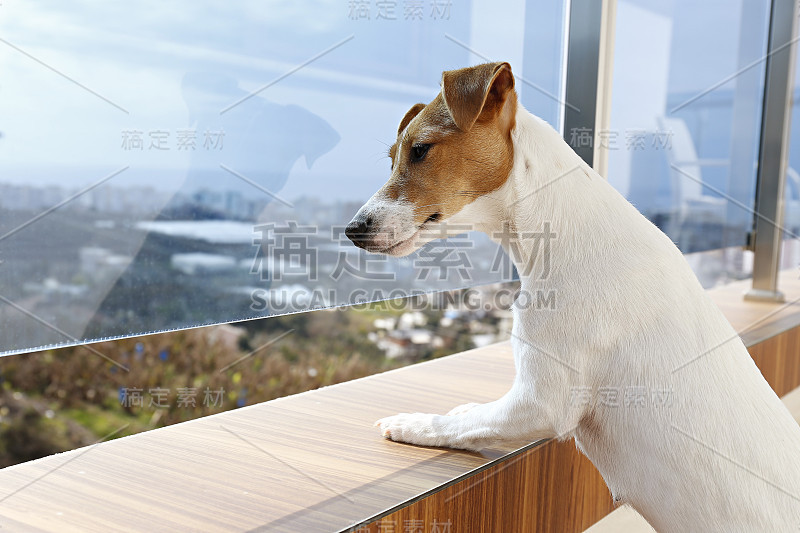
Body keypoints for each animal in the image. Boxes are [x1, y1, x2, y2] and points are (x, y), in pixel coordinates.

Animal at [346, 63, 800, 532]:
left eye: (420, 150)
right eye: (392, 158)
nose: (352, 230)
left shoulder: (540, 403)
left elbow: (463, 425)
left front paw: (412, 423)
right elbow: (473, 417)